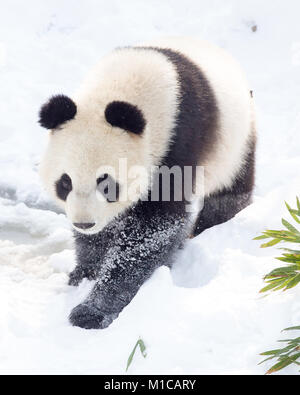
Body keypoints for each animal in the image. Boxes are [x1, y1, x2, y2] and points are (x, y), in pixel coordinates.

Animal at [39, 37, 255, 330]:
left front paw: (91, 312)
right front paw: (84, 273)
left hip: (236, 143)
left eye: (106, 184)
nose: (84, 223)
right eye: (65, 182)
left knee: (229, 193)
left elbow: (153, 231)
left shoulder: (177, 143)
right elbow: (108, 231)